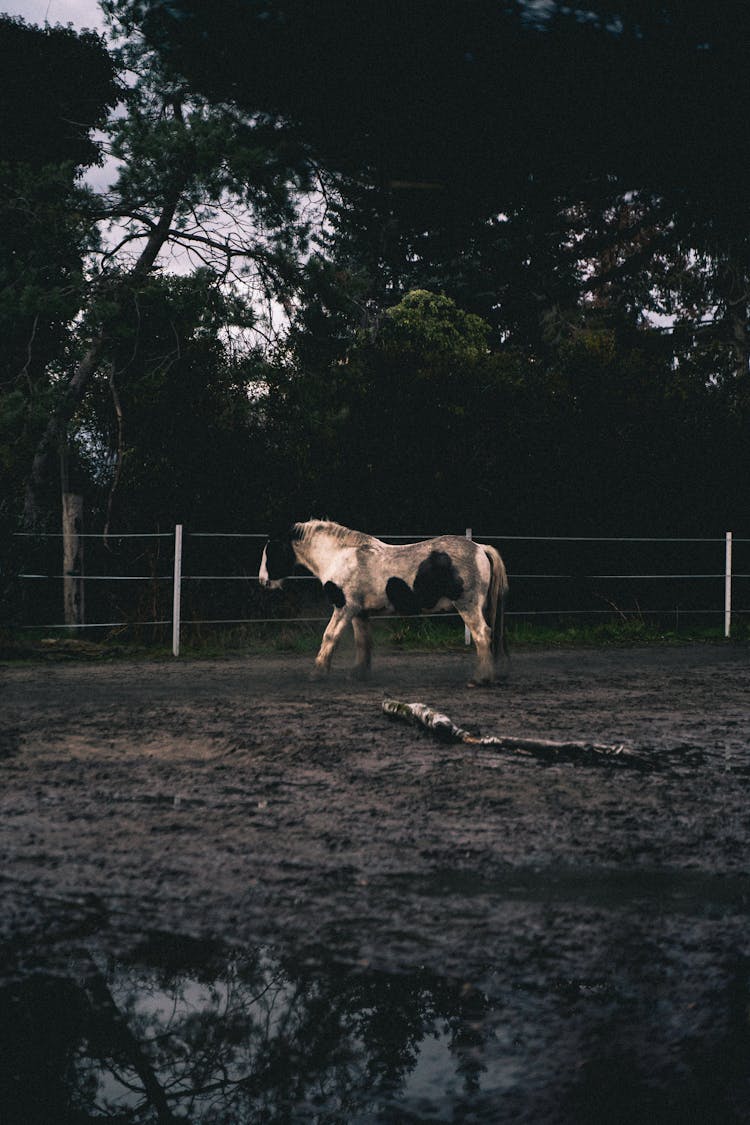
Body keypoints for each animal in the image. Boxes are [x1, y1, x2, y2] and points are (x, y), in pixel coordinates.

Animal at [258, 519, 510, 684]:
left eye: (272, 550)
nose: (263, 581)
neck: (340, 557)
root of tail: (480, 548)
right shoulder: (359, 612)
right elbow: (362, 641)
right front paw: (358, 673)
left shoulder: (344, 608)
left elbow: (330, 636)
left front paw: (318, 672)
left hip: (468, 606)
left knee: (482, 635)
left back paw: (480, 678)